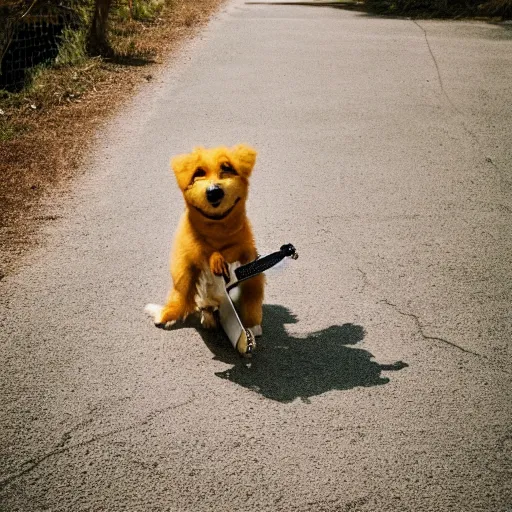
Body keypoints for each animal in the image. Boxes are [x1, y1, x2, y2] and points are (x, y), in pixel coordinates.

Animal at [144, 142, 264, 346]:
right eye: (198, 173)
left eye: (227, 169)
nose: (214, 192)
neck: (217, 232)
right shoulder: (191, 255)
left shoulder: (247, 253)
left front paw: (253, 326)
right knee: (203, 306)